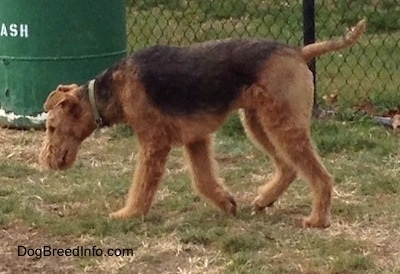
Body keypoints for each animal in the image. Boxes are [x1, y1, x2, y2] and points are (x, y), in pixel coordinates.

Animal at [39, 19, 368, 228]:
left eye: (51, 127)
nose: (47, 162)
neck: (110, 91)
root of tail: (298, 51)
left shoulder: (153, 142)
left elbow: (143, 183)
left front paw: (128, 214)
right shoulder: (195, 139)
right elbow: (203, 180)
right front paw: (227, 204)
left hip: (282, 123)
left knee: (319, 175)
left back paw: (317, 220)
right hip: (258, 122)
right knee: (288, 167)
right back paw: (263, 200)